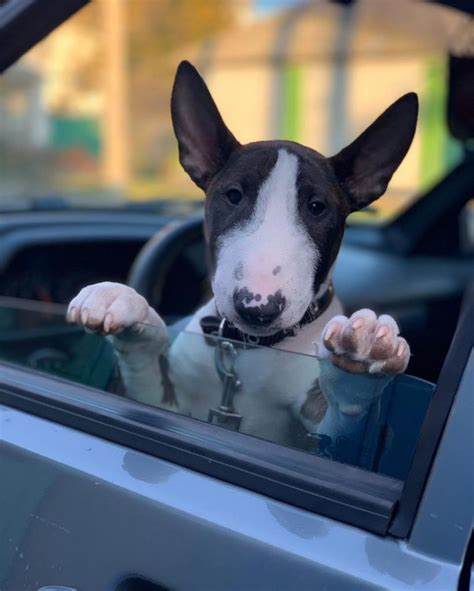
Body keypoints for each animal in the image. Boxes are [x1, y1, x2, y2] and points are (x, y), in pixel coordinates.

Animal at [67, 61, 418, 448]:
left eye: (317, 207)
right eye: (233, 195)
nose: (257, 307)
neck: (250, 351)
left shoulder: (324, 440)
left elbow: (346, 417)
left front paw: (362, 361)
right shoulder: (164, 405)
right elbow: (146, 368)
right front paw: (121, 302)